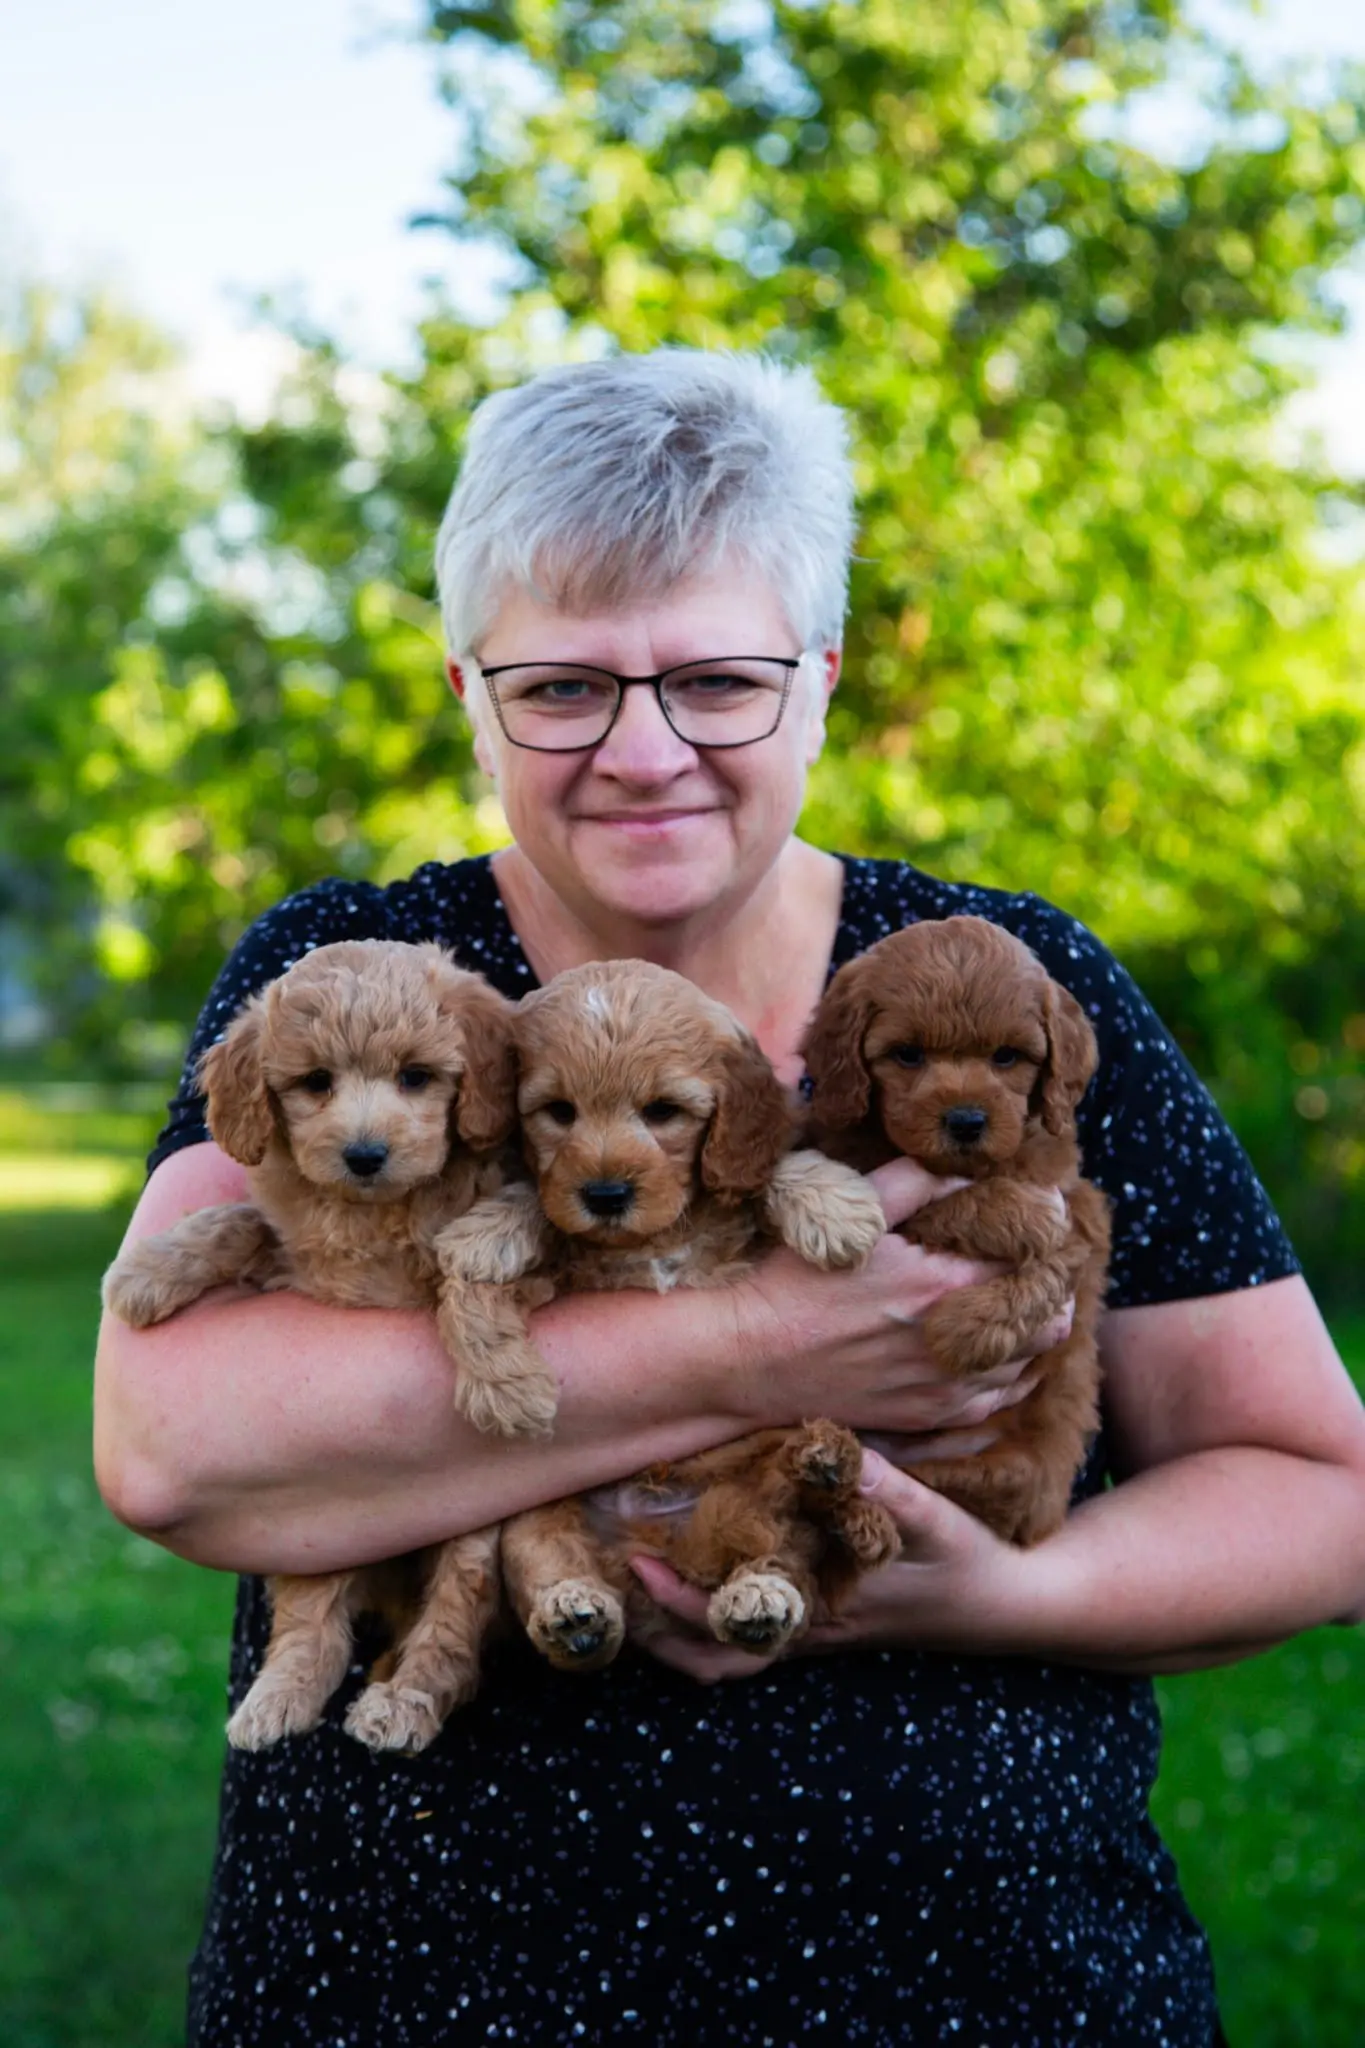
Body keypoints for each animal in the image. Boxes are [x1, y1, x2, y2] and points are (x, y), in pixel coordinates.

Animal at [100, 937, 517, 1753]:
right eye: (316, 1082)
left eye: (416, 1076)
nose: (364, 1153)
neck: (371, 1213)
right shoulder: (299, 1261)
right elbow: (240, 1220)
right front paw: (148, 1270)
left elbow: (466, 1270)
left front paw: (500, 1381)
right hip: (330, 1517)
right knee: (311, 1616)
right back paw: (282, 1695)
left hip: (469, 1534)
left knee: (450, 1625)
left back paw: (403, 1700)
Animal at [802, 921, 1113, 1540]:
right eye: (908, 1054)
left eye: (1007, 1056)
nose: (967, 1120)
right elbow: (943, 1205)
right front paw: (1012, 1212)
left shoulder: (1078, 1209)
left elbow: (1052, 1263)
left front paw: (963, 1329)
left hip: (1022, 1470)